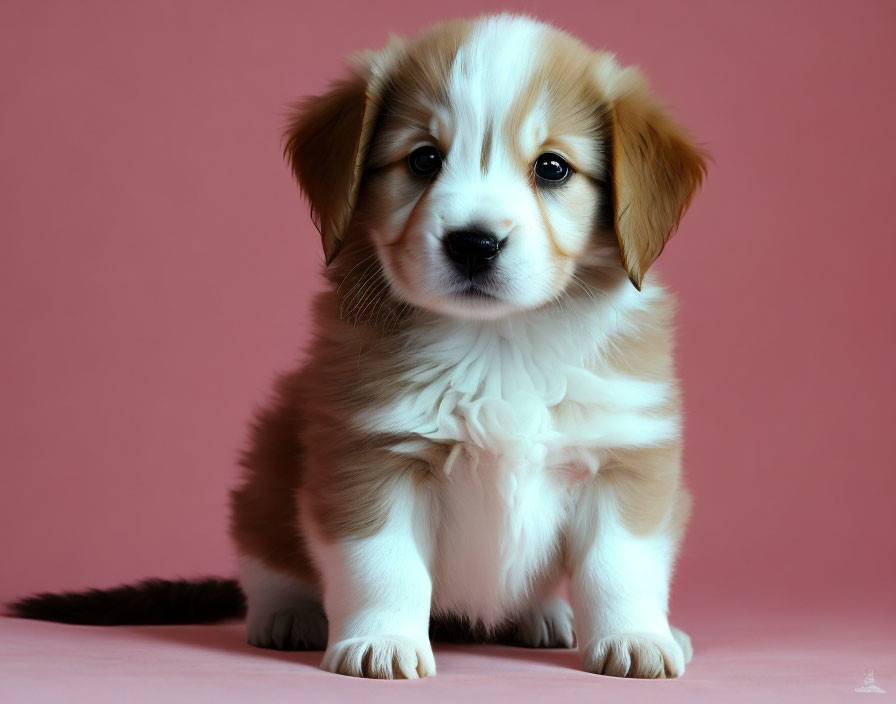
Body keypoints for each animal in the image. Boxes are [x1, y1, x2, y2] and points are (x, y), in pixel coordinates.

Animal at [228, 11, 704, 680]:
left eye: (552, 167)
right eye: (424, 159)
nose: (474, 244)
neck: (499, 341)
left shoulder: (625, 457)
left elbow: (620, 567)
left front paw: (636, 636)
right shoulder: (367, 456)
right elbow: (385, 566)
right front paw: (383, 640)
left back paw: (548, 617)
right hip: (266, 474)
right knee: (268, 562)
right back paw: (287, 615)